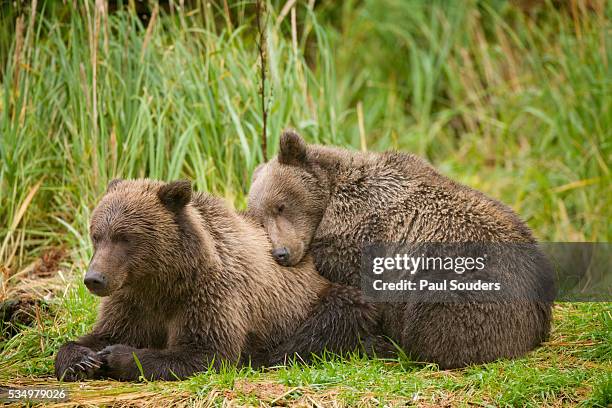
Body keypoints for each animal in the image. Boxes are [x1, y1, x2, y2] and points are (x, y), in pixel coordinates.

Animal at [52, 180, 388, 380]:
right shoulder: (133, 300)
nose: (94, 279)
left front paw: (117, 355)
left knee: (337, 314)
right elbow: (105, 331)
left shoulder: (212, 293)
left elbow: (206, 352)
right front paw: (81, 359)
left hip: (319, 297)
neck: (163, 280)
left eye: (125, 238)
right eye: (96, 235)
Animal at [245, 131, 556, 370]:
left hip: (463, 281)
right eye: (260, 218)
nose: (282, 253)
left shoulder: (362, 241)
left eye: (281, 205)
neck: (333, 203)